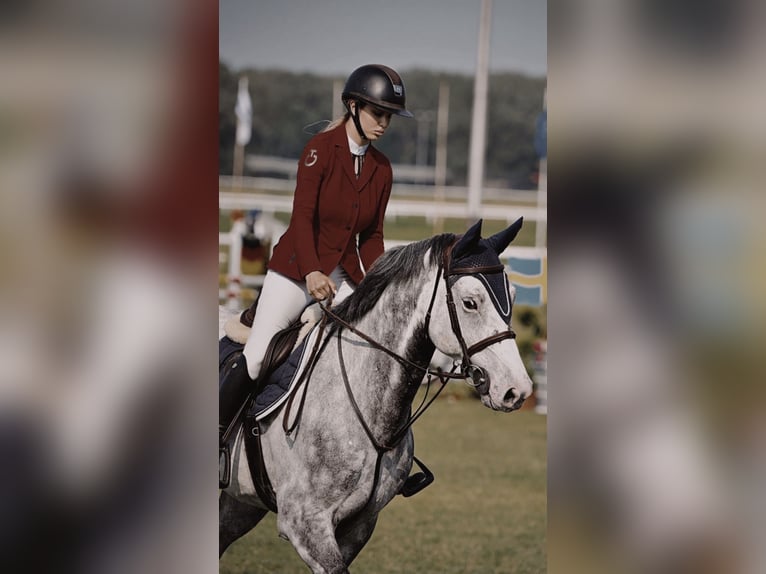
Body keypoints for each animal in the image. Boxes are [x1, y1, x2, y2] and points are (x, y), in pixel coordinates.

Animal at [219, 219, 534, 573]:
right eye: (470, 302)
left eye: (513, 295)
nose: (517, 390)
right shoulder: (305, 525)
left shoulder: (360, 526)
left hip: (240, 505)